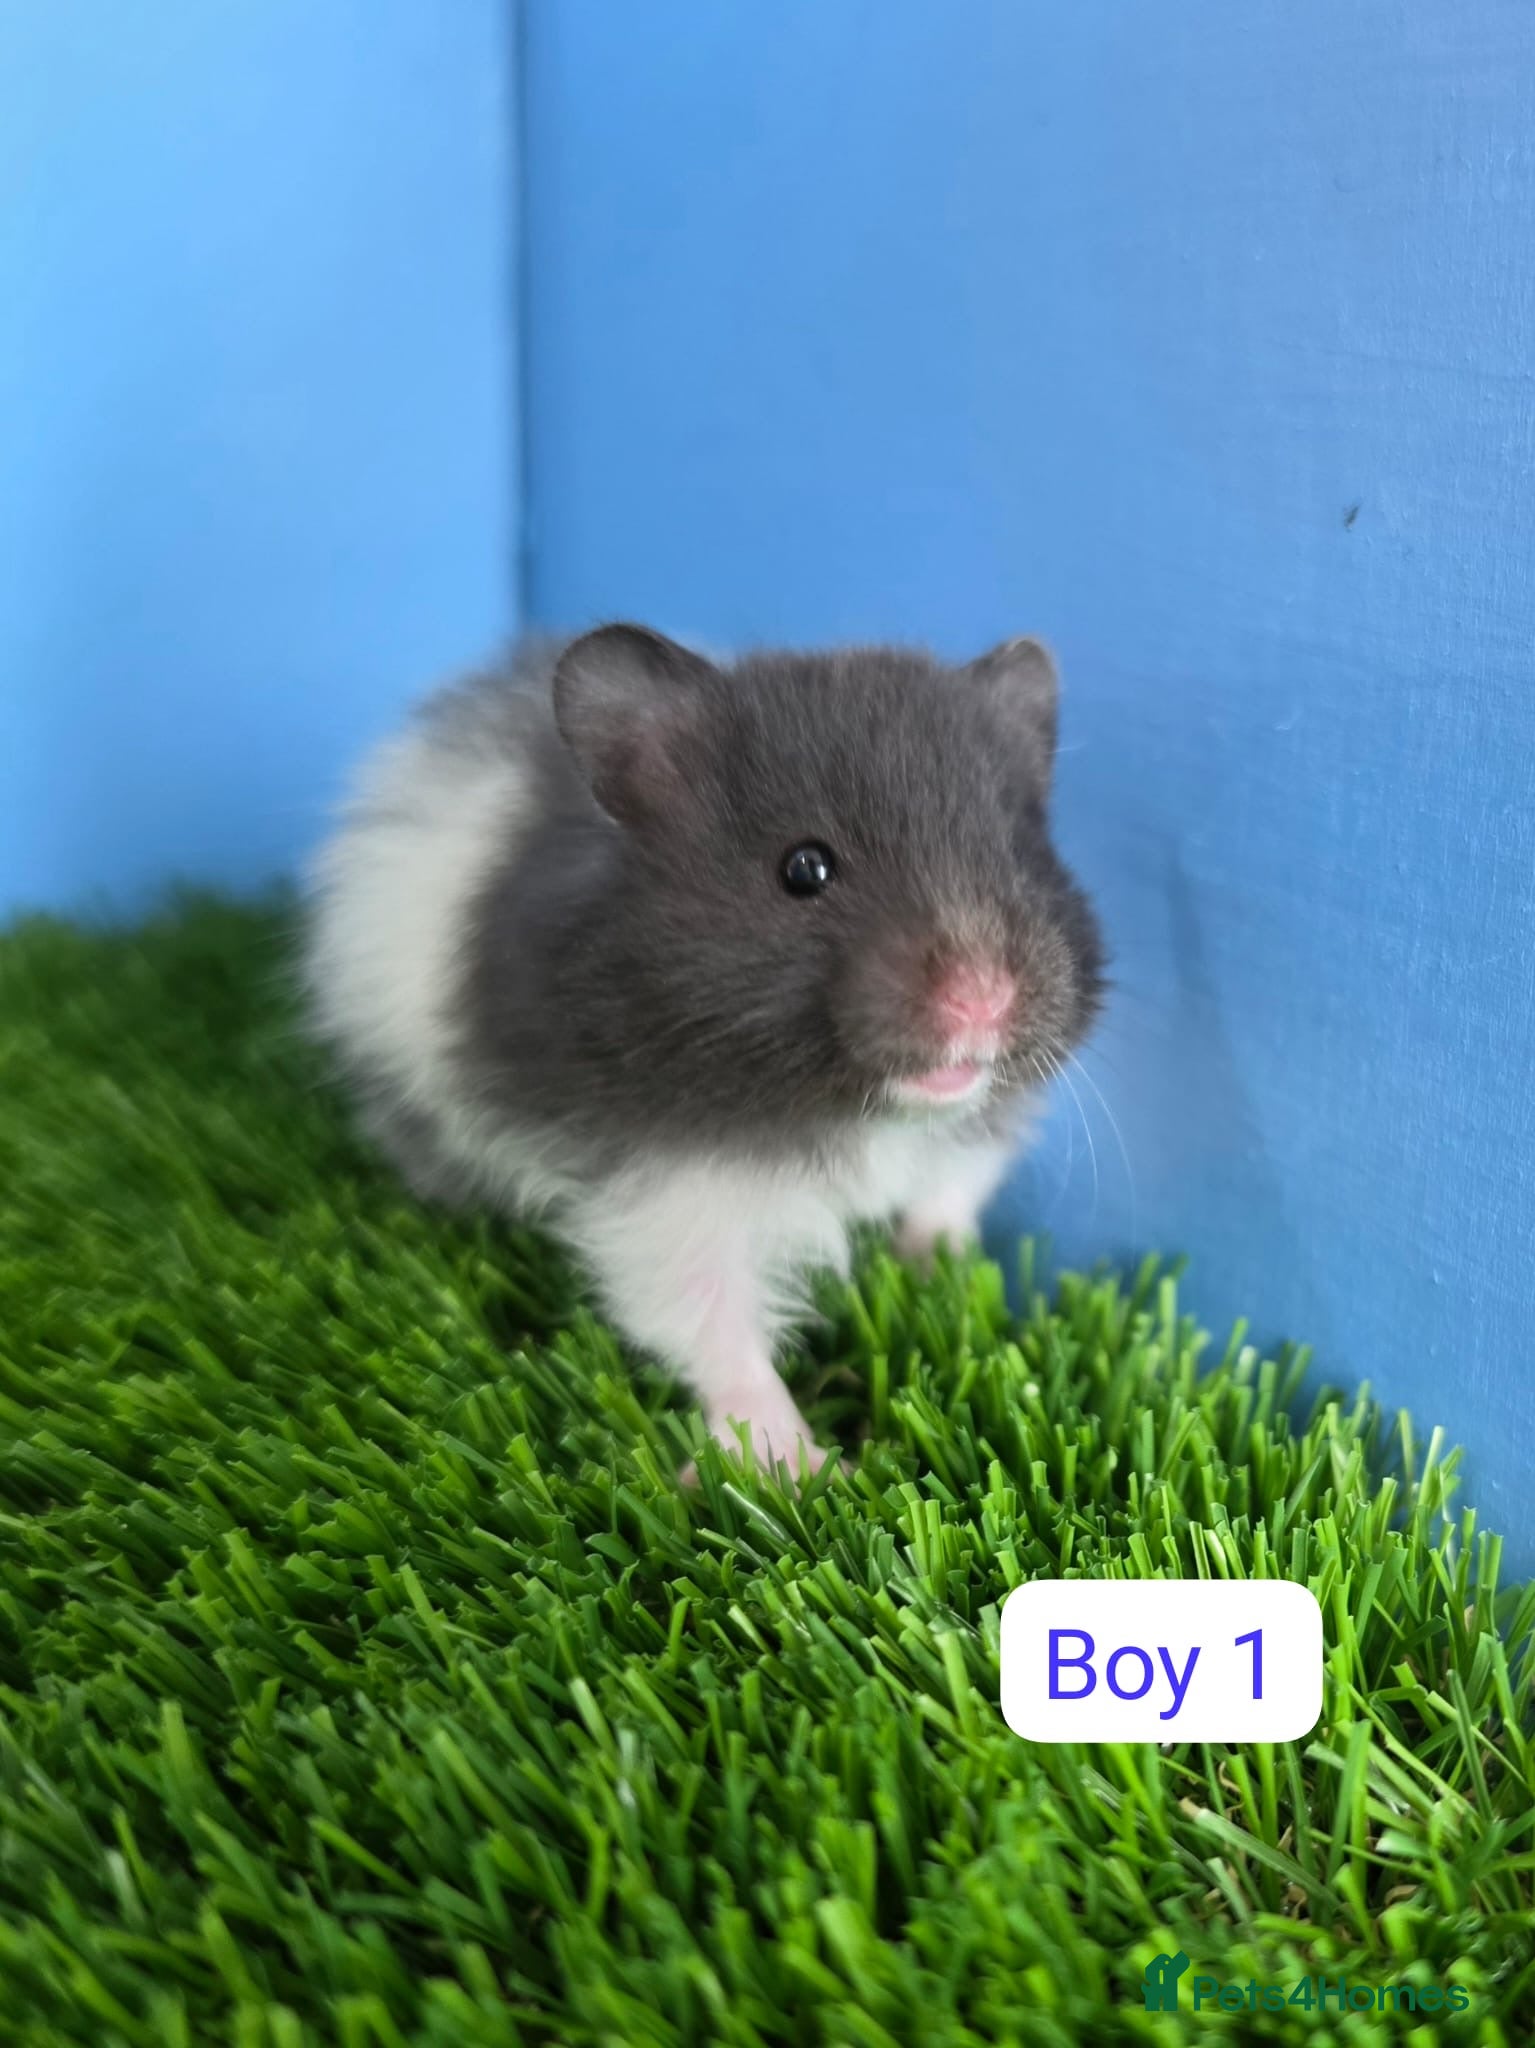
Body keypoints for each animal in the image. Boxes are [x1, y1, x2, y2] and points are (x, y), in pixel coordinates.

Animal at [304, 625, 1104, 1475]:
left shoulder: (967, 1137)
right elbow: (714, 1327)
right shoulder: (665, 1196)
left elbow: (947, 1198)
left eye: (1018, 857)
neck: (854, 1110)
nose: (982, 998)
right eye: (804, 868)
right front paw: (798, 1471)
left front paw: (937, 1278)